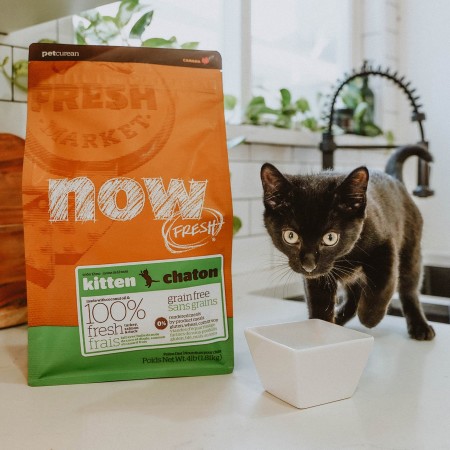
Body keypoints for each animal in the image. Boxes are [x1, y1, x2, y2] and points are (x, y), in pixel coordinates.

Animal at [260, 148, 436, 342]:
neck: (345, 256)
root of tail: (395, 180)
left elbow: (384, 285)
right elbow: (319, 303)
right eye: (290, 236)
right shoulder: (319, 277)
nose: (309, 265)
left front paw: (370, 317)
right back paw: (339, 319)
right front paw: (321, 328)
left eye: (330, 238)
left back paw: (420, 326)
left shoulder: (385, 247)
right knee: (353, 297)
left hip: (410, 250)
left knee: (409, 289)